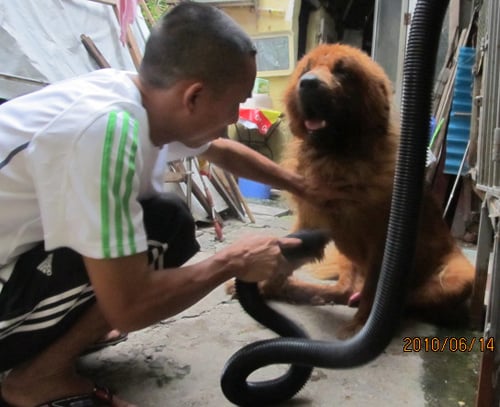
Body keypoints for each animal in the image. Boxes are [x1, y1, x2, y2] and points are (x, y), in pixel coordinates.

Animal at [258, 43, 476, 338]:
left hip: (460, 276)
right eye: (307, 69)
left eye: (342, 71)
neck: (337, 158)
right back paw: (300, 291)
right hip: (345, 257)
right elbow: (284, 261)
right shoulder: (310, 223)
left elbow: (374, 293)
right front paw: (264, 289)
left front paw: (360, 326)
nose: (309, 83)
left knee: (398, 299)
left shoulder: (382, 246)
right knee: (342, 290)